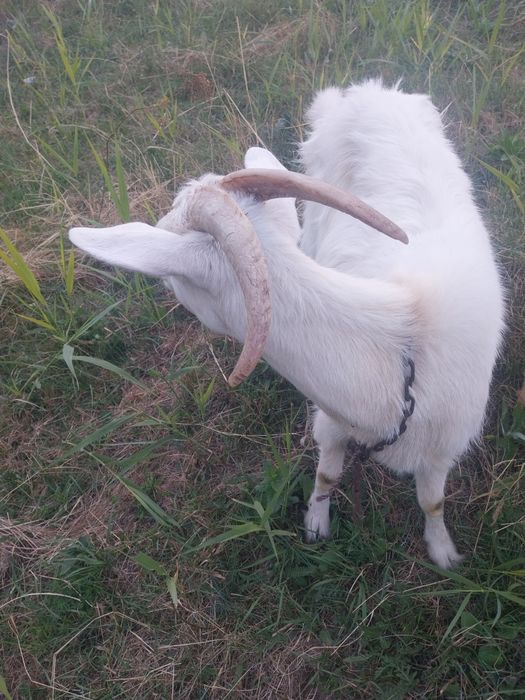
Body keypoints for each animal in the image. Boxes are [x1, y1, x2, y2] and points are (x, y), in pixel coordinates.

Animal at [69, 80, 504, 568]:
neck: (401, 350)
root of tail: (366, 91)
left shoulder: (442, 449)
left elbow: (433, 502)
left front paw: (443, 551)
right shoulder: (332, 422)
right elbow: (328, 474)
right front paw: (316, 524)